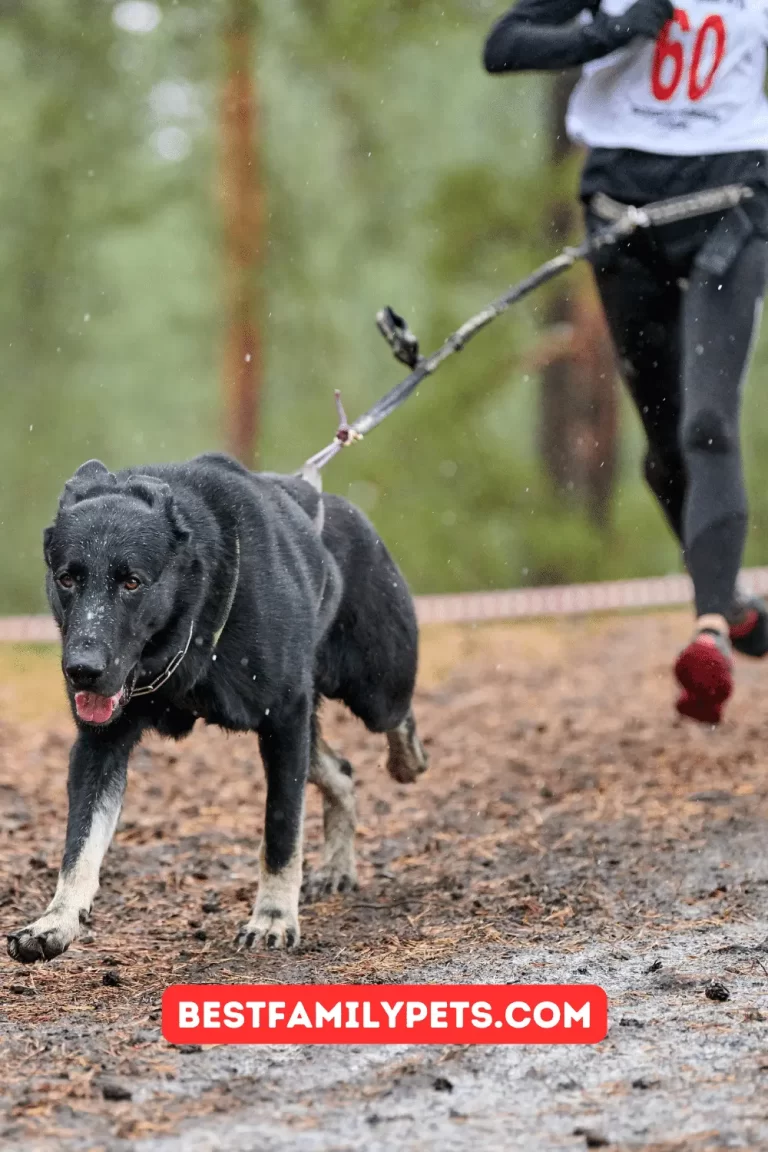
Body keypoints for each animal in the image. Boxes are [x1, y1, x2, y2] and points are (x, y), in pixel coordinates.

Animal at [6, 451, 426, 963]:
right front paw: (57, 920)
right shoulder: (100, 744)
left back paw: (407, 760)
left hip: (374, 689)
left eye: (132, 582)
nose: (81, 670)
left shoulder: (284, 722)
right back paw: (337, 866)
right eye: (67, 578)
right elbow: (79, 845)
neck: (194, 618)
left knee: (395, 719)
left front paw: (272, 917)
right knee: (341, 771)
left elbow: (281, 833)